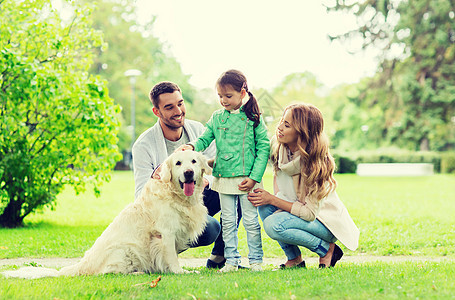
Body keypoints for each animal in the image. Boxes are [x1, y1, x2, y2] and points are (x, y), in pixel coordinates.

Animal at [3, 150, 210, 278]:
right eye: (178, 163)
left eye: (193, 161)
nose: (189, 172)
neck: (177, 196)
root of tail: (82, 264)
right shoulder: (165, 233)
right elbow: (172, 258)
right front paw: (180, 272)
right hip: (125, 250)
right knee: (107, 272)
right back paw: (138, 272)